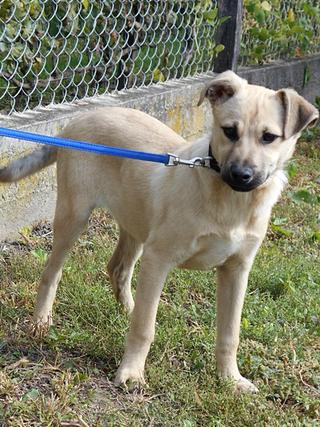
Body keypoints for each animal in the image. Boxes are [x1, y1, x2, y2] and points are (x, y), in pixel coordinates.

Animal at [0, 71, 318, 394]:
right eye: (229, 131)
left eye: (269, 137)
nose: (242, 175)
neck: (231, 202)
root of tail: (77, 120)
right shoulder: (159, 258)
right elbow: (144, 328)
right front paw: (131, 372)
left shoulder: (237, 269)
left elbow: (229, 334)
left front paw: (231, 379)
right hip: (74, 216)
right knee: (53, 272)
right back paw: (42, 321)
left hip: (136, 222)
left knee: (118, 269)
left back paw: (128, 309)